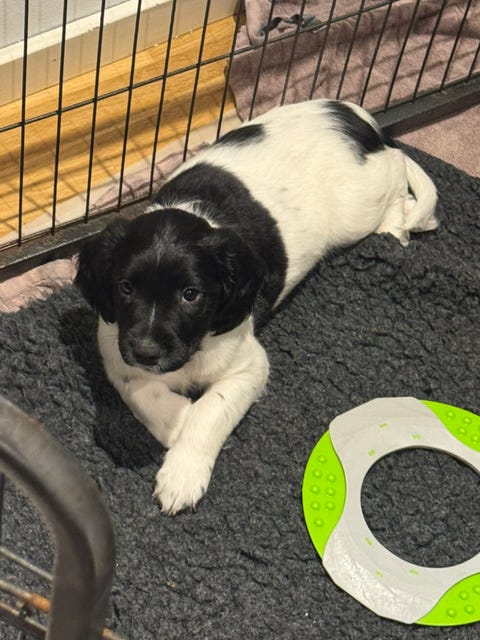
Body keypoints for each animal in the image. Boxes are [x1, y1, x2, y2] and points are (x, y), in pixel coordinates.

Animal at [75, 99, 437, 514]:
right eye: (126, 288)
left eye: (190, 294)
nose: (147, 352)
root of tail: (357, 116)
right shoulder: (116, 352)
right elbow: (143, 392)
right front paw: (176, 422)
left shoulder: (249, 367)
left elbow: (209, 410)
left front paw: (183, 471)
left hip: (360, 205)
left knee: (397, 177)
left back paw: (396, 230)